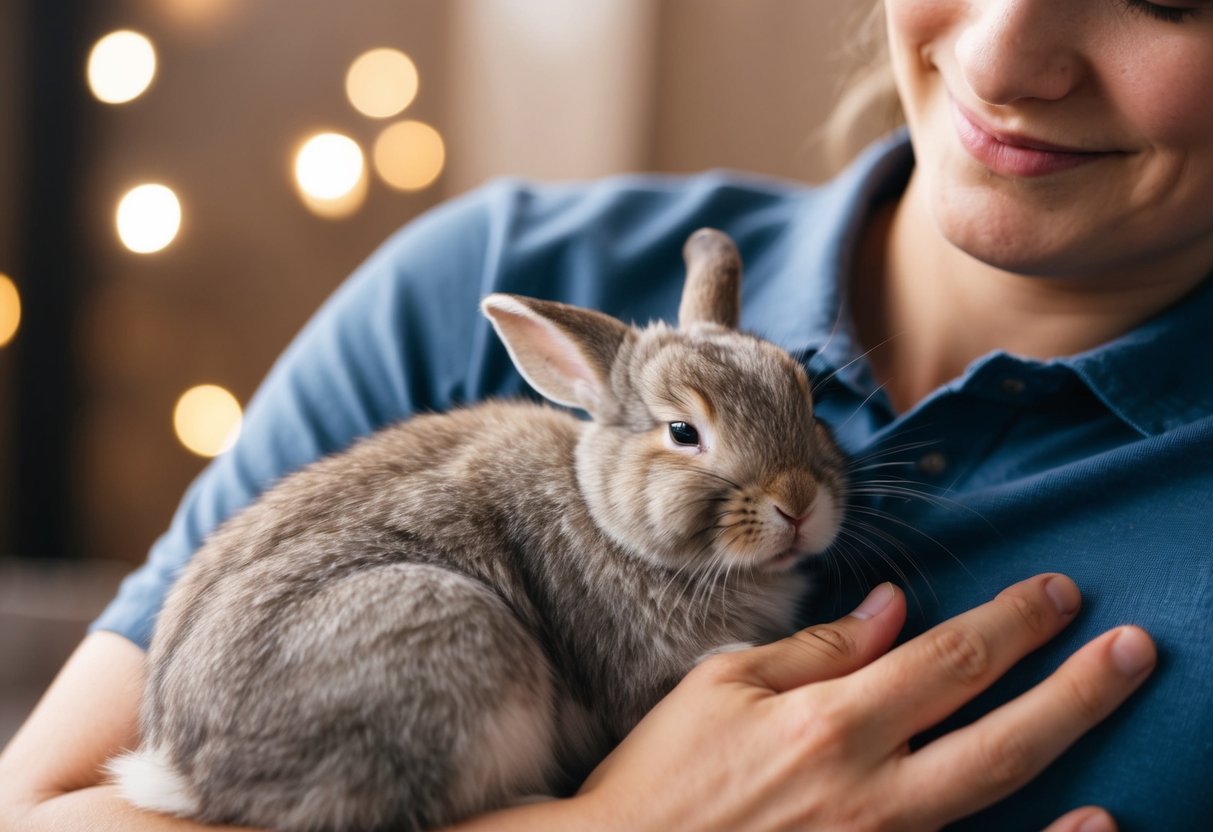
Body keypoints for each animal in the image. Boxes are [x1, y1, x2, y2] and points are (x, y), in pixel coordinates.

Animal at [108, 228, 849, 832]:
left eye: (807, 403)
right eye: (682, 432)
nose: (797, 502)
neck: (606, 518)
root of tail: (184, 774)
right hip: (448, 634)